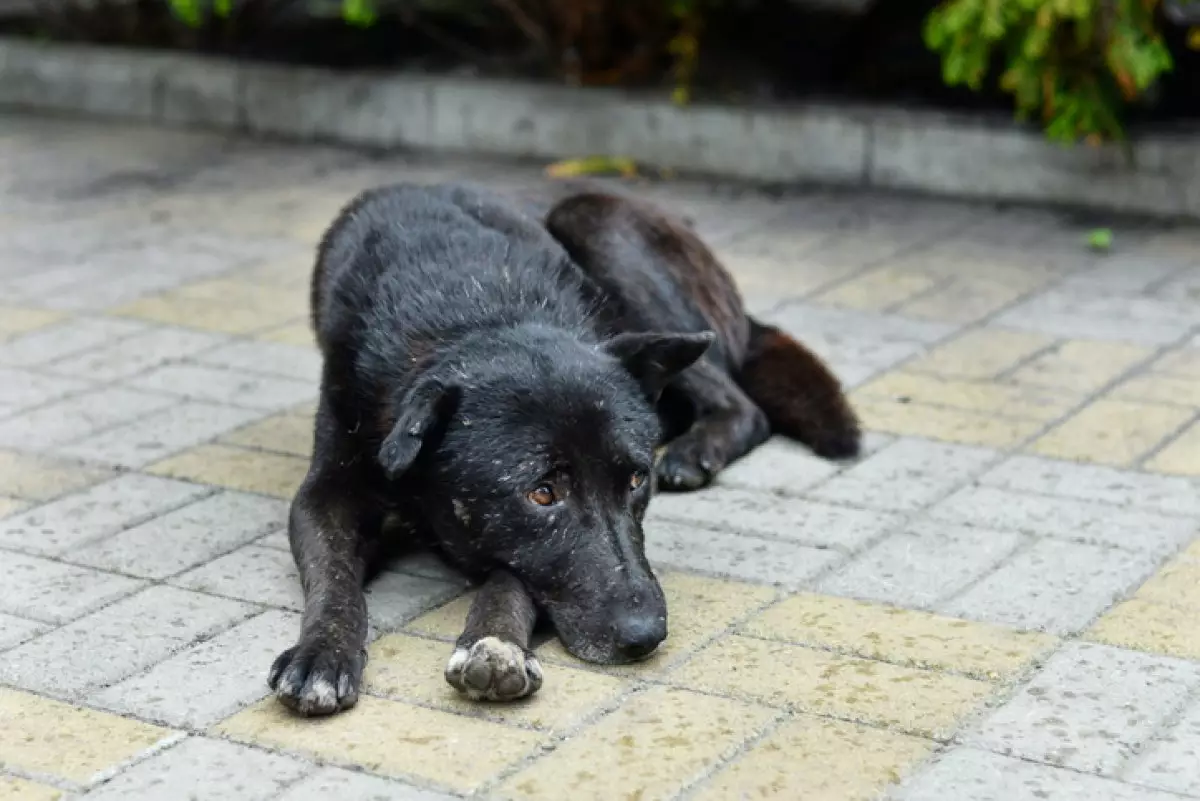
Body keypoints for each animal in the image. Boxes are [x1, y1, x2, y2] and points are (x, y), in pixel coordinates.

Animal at [267, 181, 859, 714]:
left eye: (636, 480)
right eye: (543, 493)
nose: (647, 634)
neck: (477, 306)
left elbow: (511, 579)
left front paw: (496, 645)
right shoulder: (326, 492)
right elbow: (335, 580)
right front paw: (322, 654)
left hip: (598, 225)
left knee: (745, 405)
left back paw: (695, 451)